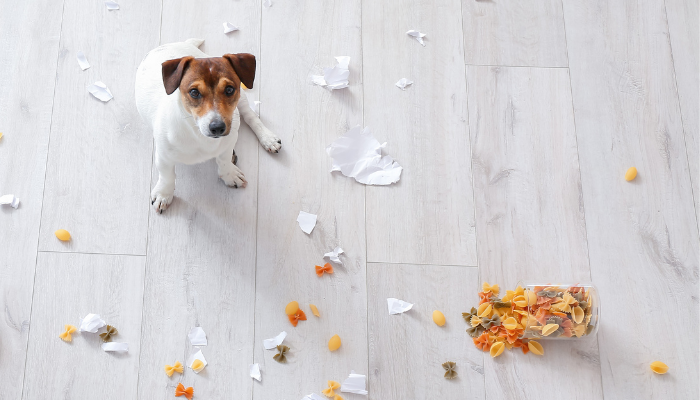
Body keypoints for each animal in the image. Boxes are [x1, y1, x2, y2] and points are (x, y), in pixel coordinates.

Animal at [135, 38, 280, 212]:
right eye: (194, 92)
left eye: (229, 89)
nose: (217, 127)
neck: (198, 134)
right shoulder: (163, 155)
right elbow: (166, 175)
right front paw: (164, 194)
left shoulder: (229, 141)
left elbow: (224, 159)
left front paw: (229, 174)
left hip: (243, 100)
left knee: (250, 116)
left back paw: (268, 139)